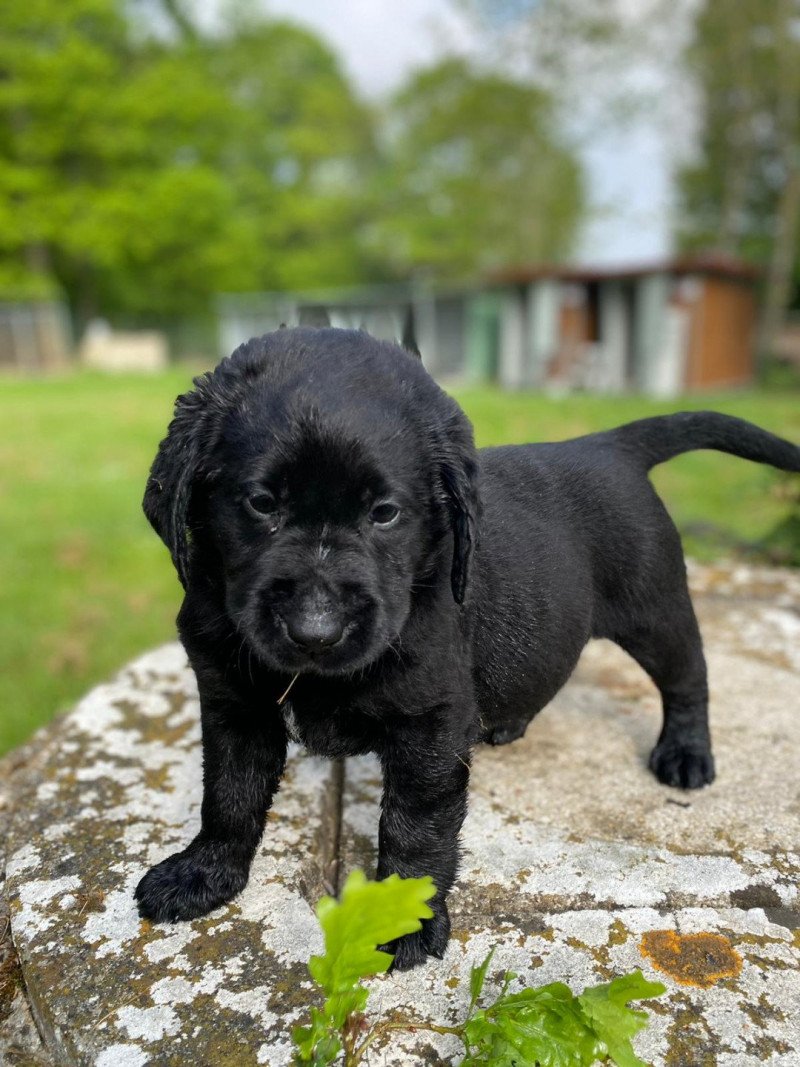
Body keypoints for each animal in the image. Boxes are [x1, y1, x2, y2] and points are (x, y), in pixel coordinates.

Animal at [137, 326, 800, 968]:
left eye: (385, 513)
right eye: (261, 504)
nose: (315, 631)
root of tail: (609, 445)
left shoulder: (429, 722)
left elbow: (415, 825)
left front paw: (405, 921)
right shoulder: (233, 704)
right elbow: (229, 793)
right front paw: (205, 872)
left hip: (656, 610)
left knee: (689, 676)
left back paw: (686, 754)